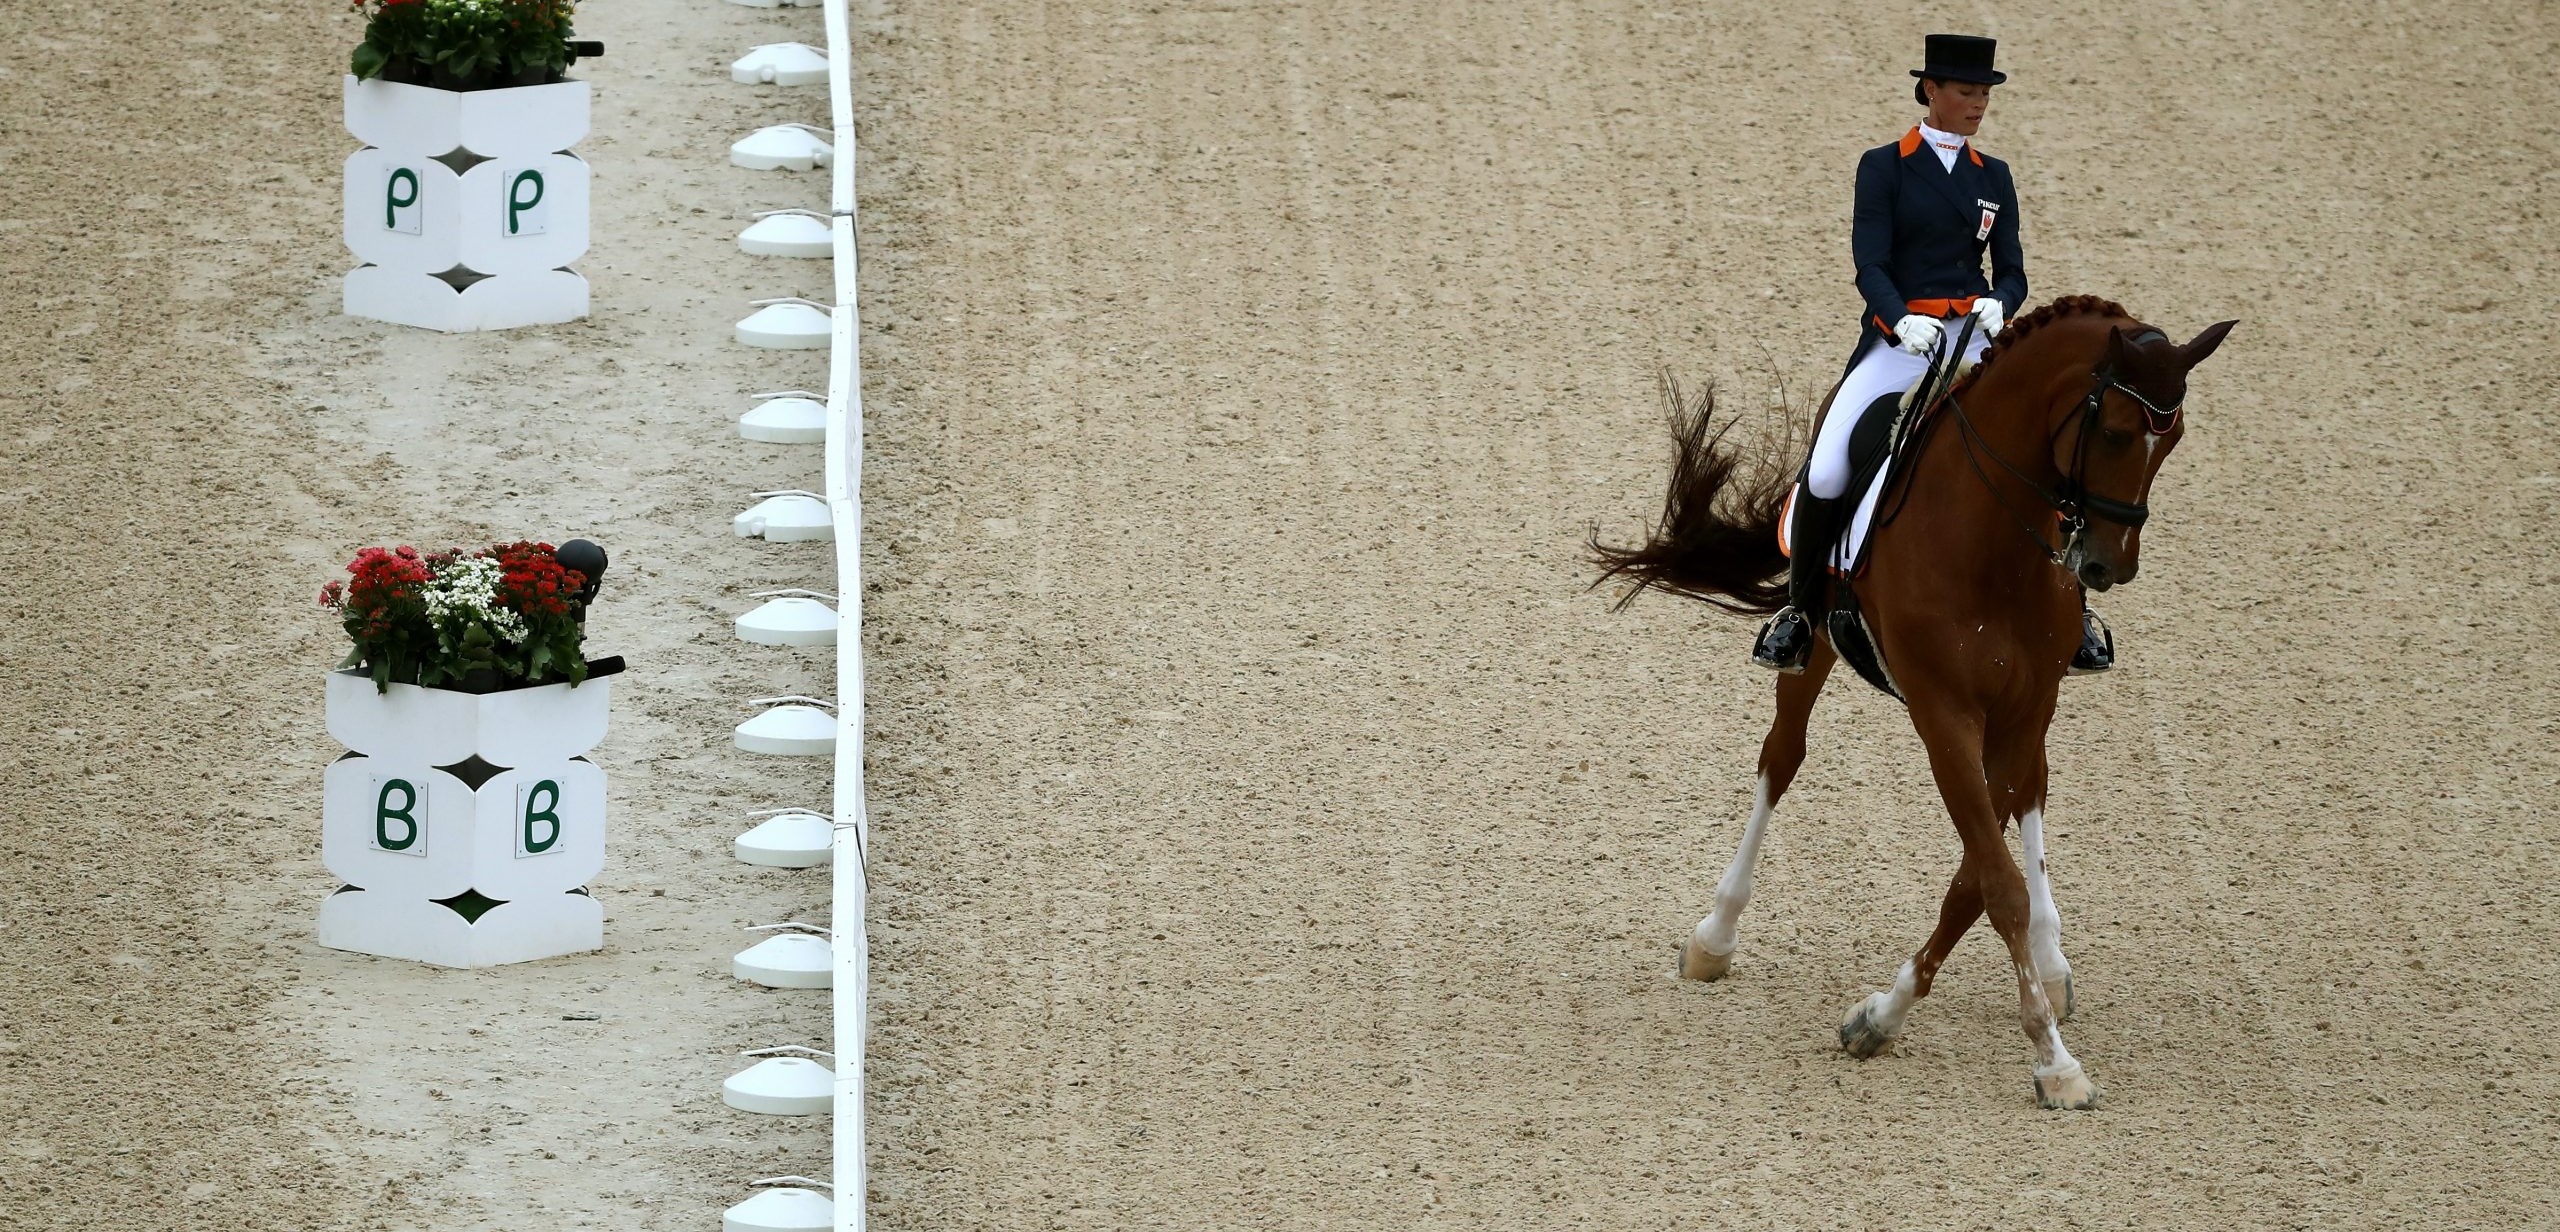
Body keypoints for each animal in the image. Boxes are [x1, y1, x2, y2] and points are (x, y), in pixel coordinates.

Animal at [1597, 297, 2242, 1106]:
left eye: (2174, 440)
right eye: (2118, 433)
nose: (2105, 566)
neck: (1993, 546)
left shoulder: (2024, 712)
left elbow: (1977, 879)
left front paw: (1890, 1014)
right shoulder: (1944, 716)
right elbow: (1995, 882)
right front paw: (2051, 1060)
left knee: (2033, 790)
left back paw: (2052, 961)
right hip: (1816, 643)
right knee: (1782, 759)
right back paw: (1714, 937)